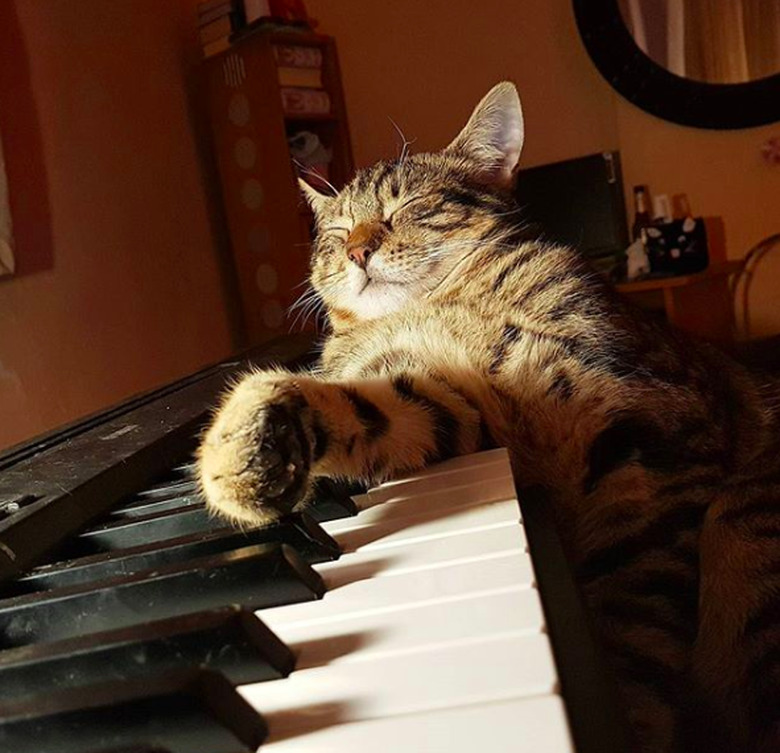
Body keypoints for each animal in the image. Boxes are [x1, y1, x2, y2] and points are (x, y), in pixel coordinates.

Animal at [198, 83, 780, 752]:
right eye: (337, 231)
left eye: (410, 206)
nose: (357, 249)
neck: (439, 306)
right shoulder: (457, 402)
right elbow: (364, 404)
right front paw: (239, 448)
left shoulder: (648, 441)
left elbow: (632, 625)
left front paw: (627, 710)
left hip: (742, 533)